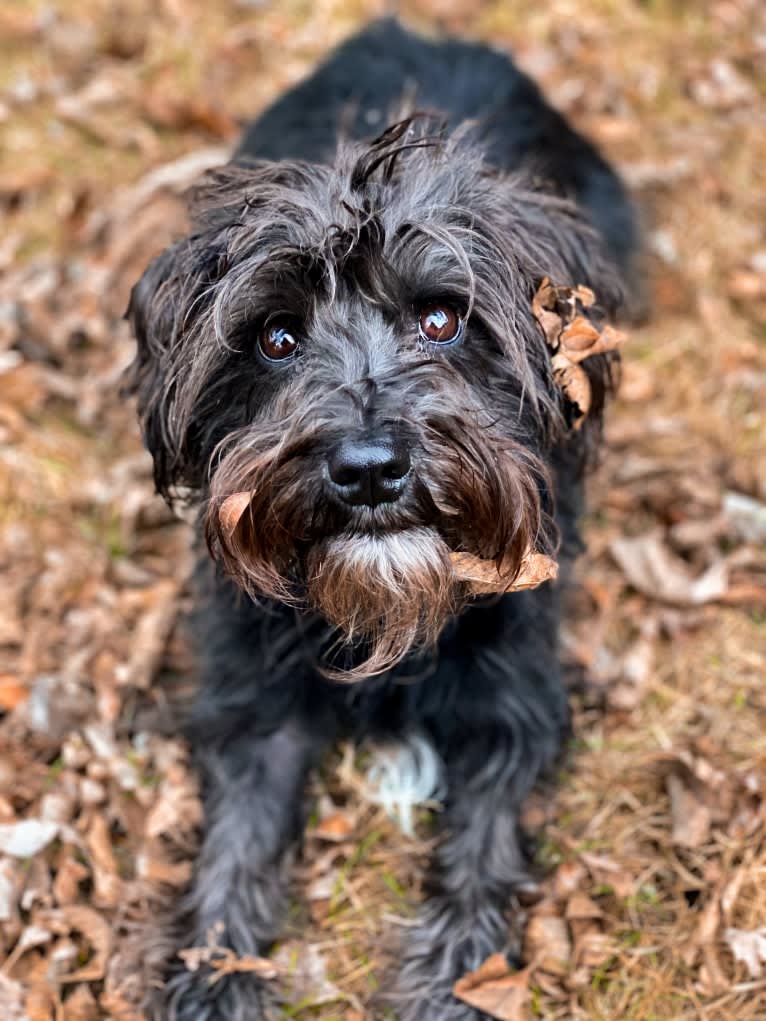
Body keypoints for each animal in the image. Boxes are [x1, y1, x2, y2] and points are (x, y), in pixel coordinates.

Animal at [127, 17, 637, 1021]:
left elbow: (481, 853)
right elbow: (235, 843)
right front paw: (211, 979)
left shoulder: (512, 705)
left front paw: (458, 984)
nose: (367, 469)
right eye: (277, 338)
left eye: (442, 319)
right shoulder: (256, 701)